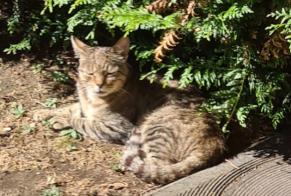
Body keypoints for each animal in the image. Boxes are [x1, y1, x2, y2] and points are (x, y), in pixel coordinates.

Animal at [34, 36, 226, 185]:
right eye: (90, 73)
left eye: (109, 73)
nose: (99, 85)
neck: (92, 98)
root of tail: (215, 141)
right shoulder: (83, 105)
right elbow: (70, 107)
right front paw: (42, 112)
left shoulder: (118, 127)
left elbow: (83, 121)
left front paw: (59, 120)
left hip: (156, 125)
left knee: (158, 166)